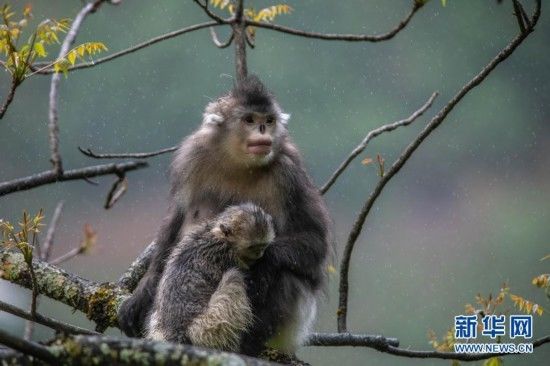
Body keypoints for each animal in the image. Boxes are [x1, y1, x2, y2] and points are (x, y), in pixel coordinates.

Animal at [147, 204, 276, 350]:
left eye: (262, 246)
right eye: (252, 247)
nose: (260, 253)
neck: (217, 235)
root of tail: (176, 333)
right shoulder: (227, 256)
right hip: (208, 327)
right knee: (233, 277)